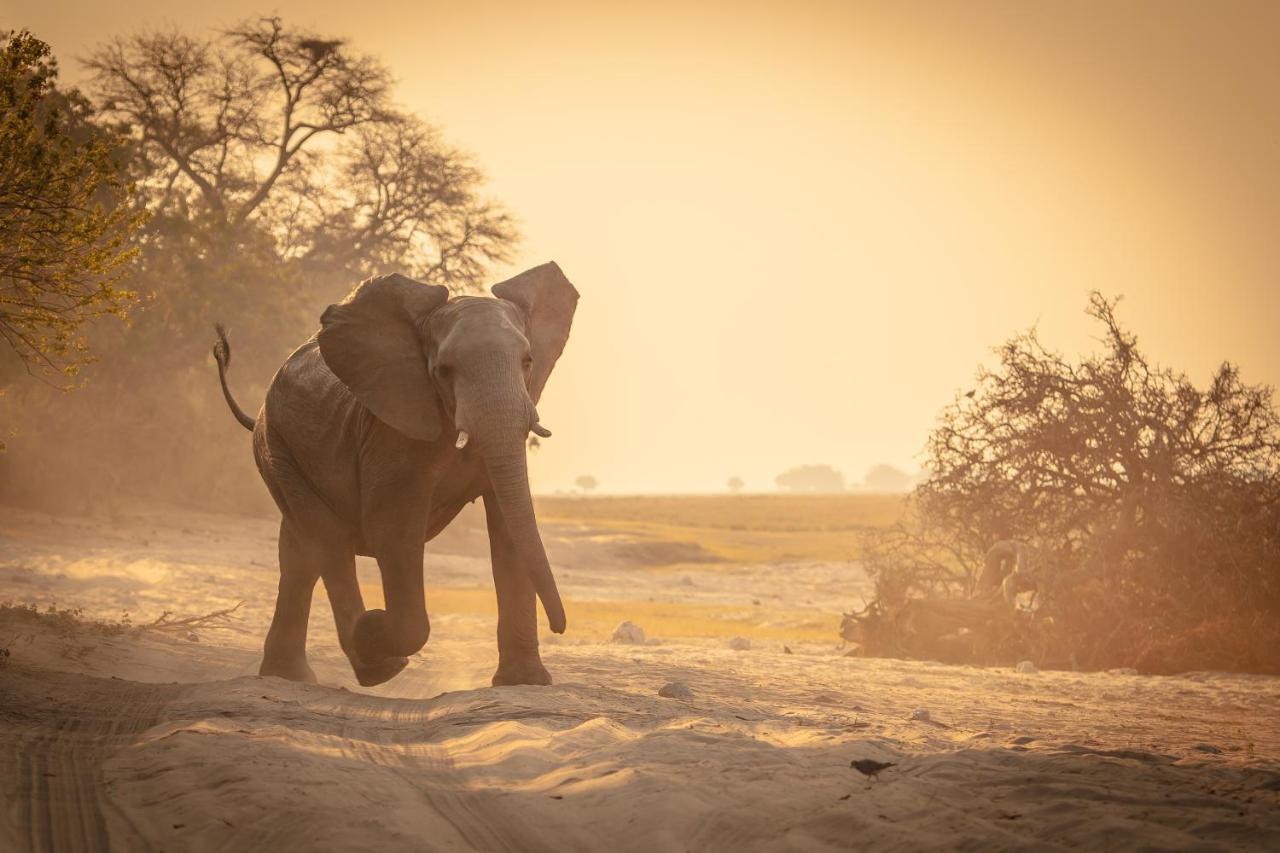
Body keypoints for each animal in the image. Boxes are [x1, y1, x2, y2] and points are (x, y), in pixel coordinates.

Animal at [211, 258, 581, 686]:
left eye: (528, 362)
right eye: (443, 370)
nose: (560, 627)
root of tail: (257, 415)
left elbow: (508, 528)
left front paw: (525, 682)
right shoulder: (390, 434)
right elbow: (393, 529)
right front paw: (376, 628)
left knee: (300, 553)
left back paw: (292, 676)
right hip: (277, 448)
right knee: (328, 542)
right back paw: (377, 665)